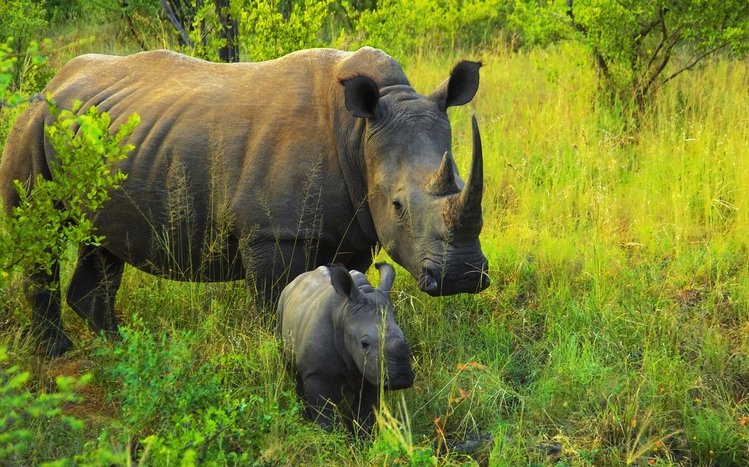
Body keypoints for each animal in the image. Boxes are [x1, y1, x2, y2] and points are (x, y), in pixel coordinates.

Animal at [0, 47, 489, 356]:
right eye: (398, 206)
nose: (463, 275)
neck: (361, 134)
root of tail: (53, 83)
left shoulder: (351, 228)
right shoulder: (274, 233)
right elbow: (275, 302)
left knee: (102, 241)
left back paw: (116, 347)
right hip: (32, 124)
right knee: (41, 232)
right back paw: (58, 353)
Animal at [277, 262, 413, 432]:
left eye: (404, 336)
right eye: (364, 344)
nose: (401, 378)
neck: (344, 312)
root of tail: (294, 282)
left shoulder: (373, 371)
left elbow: (365, 414)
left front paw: (364, 436)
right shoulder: (316, 373)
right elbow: (324, 415)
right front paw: (327, 436)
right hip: (281, 306)